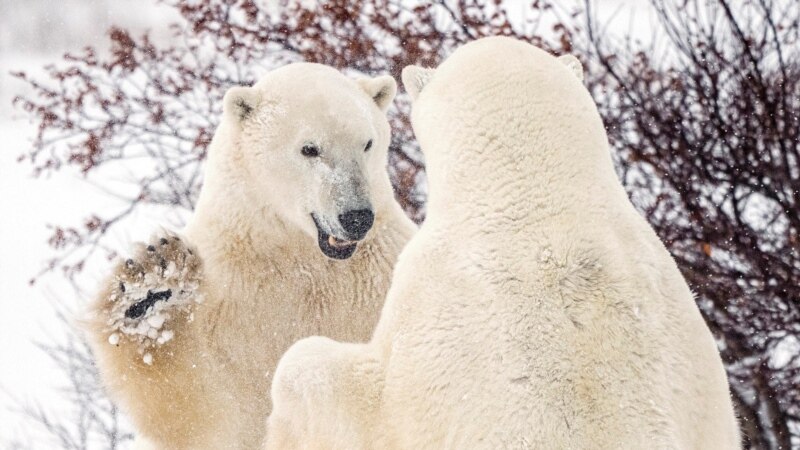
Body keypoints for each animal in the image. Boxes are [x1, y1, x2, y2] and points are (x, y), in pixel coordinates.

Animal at [85, 62, 416, 449]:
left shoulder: (385, 273)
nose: (357, 216)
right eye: (309, 149)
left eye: (367, 143)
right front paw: (148, 291)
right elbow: (199, 407)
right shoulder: (227, 296)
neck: (303, 258)